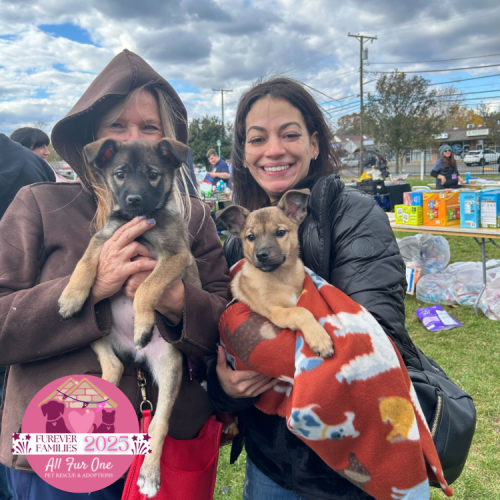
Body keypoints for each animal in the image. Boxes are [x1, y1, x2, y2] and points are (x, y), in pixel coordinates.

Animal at [58, 137, 201, 498]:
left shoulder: (174, 256)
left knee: (160, 423)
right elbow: (85, 261)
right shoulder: (105, 238)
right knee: (112, 365)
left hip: (169, 366)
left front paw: (144, 322)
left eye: (152, 174)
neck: (141, 219)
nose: (134, 199)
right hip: (97, 328)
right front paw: (71, 295)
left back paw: (149, 474)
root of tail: (136, 356)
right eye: (120, 174)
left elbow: (147, 288)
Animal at [217, 189, 333, 358]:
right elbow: (300, 311)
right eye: (250, 237)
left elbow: (300, 307)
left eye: (280, 232)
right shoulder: (274, 312)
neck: (281, 276)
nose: (261, 255)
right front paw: (320, 338)